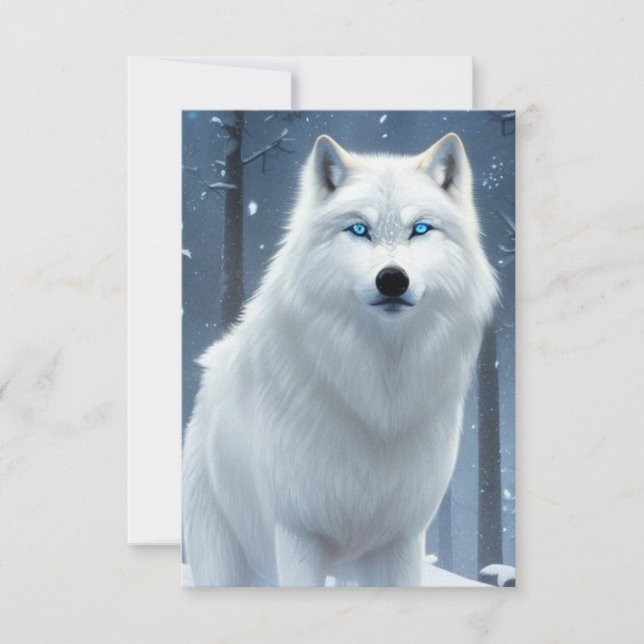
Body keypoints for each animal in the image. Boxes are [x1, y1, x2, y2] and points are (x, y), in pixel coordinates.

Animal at [183, 132, 498, 586]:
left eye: (420, 229)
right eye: (359, 229)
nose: (392, 279)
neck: (379, 396)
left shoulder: (400, 540)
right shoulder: (298, 533)